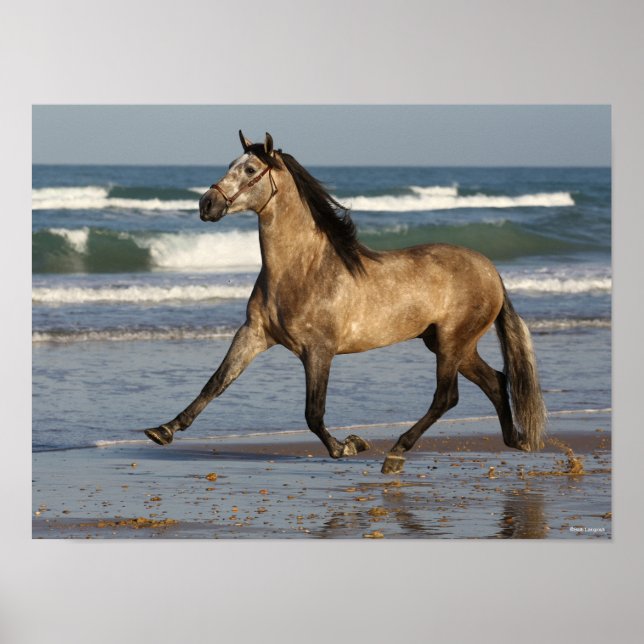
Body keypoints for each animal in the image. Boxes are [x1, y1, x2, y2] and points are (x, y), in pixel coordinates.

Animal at [145, 131, 547, 474]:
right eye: (231, 163)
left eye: (250, 170)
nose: (206, 204)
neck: (302, 270)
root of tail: (490, 270)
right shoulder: (255, 334)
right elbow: (216, 382)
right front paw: (164, 429)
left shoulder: (319, 351)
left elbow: (313, 413)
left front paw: (348, 445)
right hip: (449, 343)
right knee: (495, 381)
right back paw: (515, 439)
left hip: (452, 343)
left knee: (446, 397)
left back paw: (396, 452)